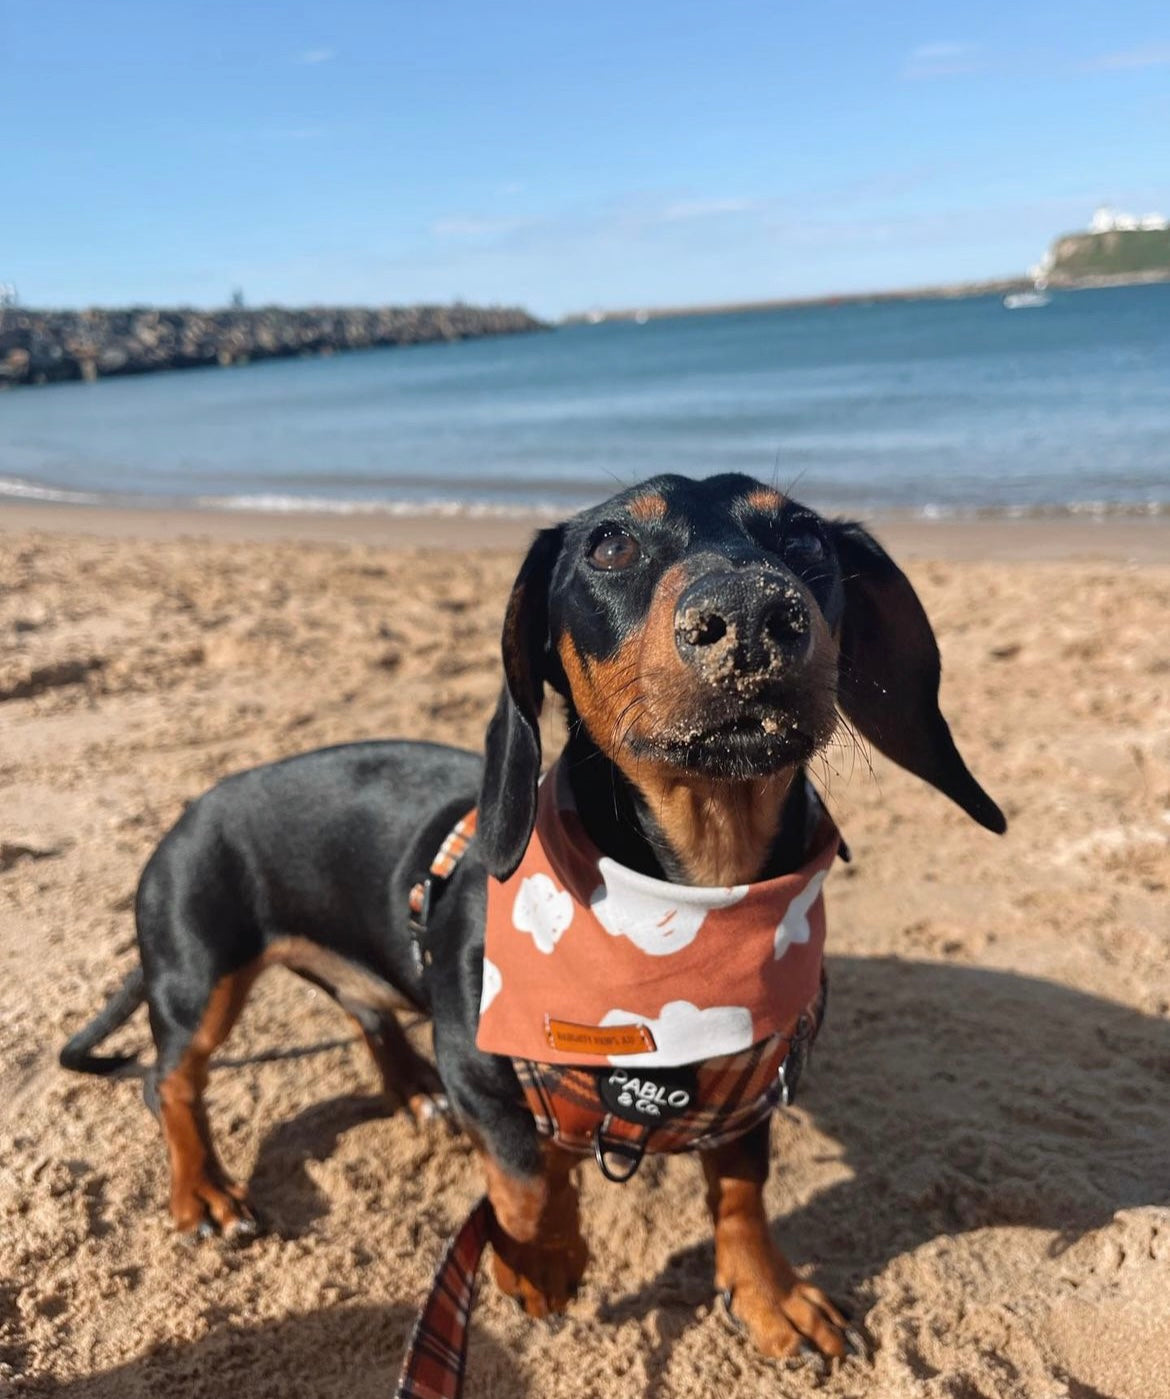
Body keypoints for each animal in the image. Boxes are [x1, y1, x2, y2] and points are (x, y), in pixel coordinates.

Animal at [61, 475, 1007, 1359]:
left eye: (805, 535)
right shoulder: (479, 1056)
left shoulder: (750, 1089)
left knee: (366, 1012)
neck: (689, 903)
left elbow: (741, 1193)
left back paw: (414, 1092)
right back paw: (205, 1190)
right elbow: (525, 1176)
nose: (751, 613)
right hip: (199, 974)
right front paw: (542, 1259)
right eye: (610, 545)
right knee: (168, 1080)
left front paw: (770, 1294)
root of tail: (191, 812)